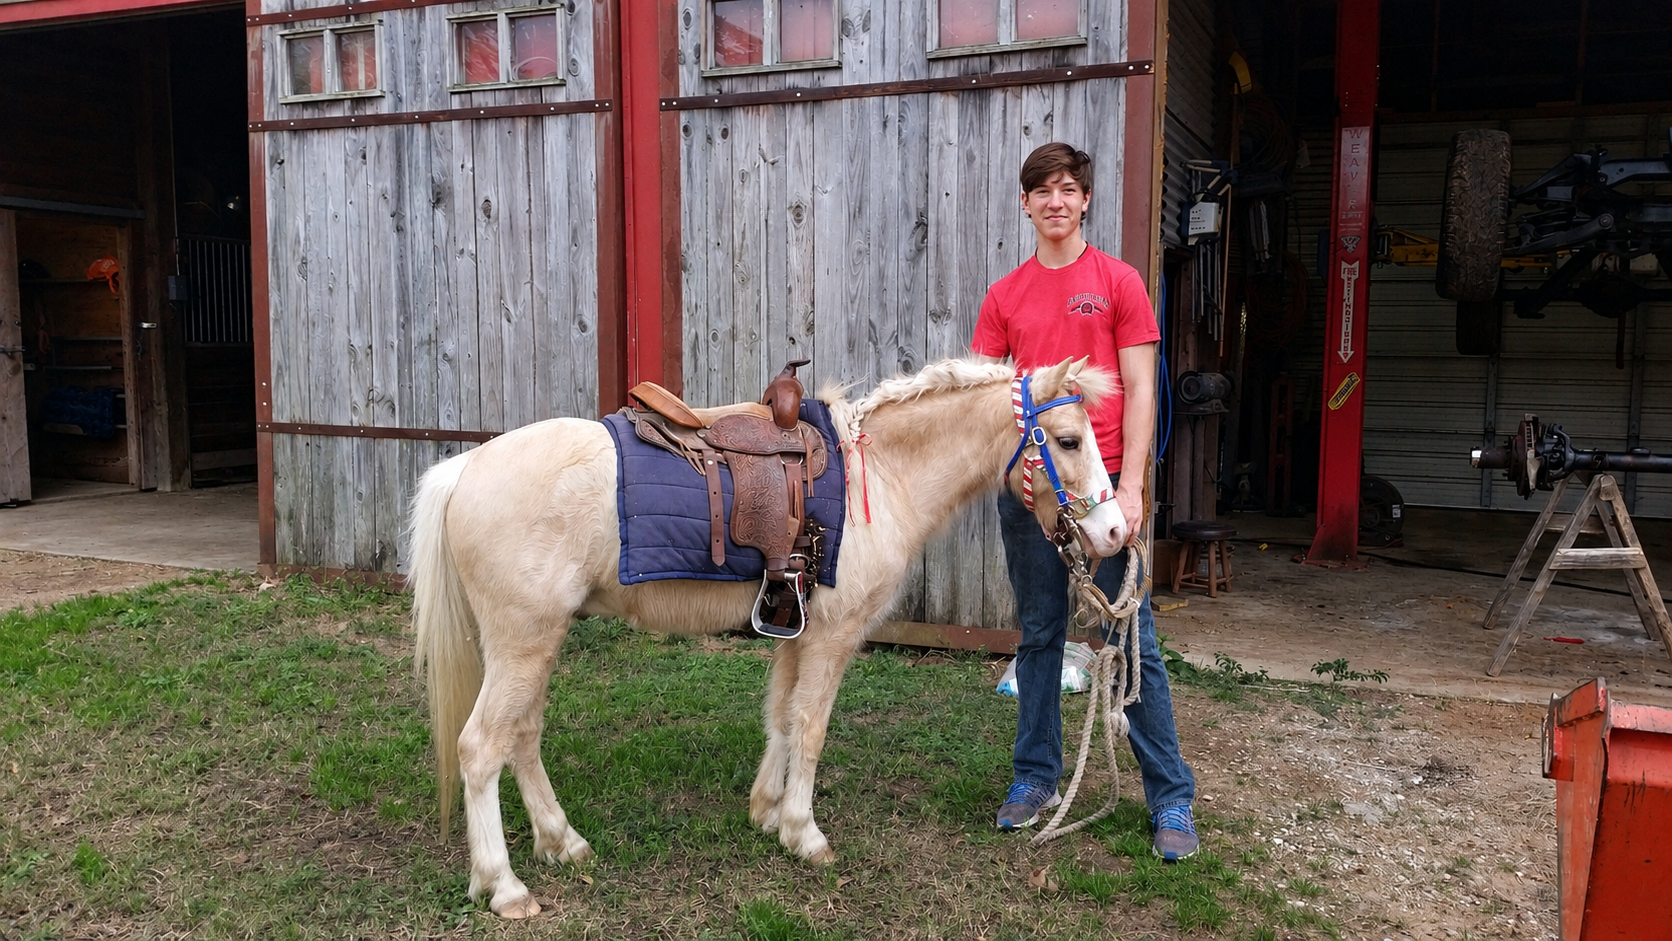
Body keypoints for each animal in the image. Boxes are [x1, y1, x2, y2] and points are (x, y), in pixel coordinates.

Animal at [407, 356, 1128, 918]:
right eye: (1067, 440)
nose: (1118, 531)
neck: (880, 475)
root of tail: (465, 468)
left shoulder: (791, 627)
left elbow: (780, 715)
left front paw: (767, 810)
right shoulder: (834, 635)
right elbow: (810, 725)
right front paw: (804, 833)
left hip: (535, 643)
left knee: (522, 738)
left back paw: (563, 841)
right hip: (522, 643)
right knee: (481, 748)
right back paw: (504, 885)